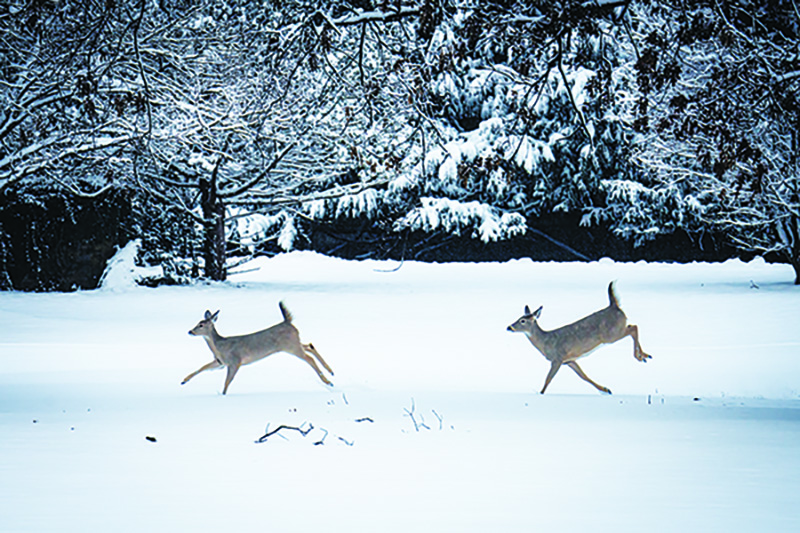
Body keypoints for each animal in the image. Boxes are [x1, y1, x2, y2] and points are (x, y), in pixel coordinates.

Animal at [183, 301, 334, 394]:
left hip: (290, 346)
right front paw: (184, 380)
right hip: (294, 343)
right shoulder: (220, 363)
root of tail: (288, 322)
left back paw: (328, 381)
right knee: (309, 346)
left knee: (309, 358)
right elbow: (202, 367)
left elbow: (227, 381)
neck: (220, 347)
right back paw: (330, 371)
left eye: (201, 325)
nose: (190, 331)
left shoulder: (235, 361)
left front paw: (223, 395)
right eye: (198, 323)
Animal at [507, 282, 651, 395]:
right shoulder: (569, 360)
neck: (545, 342)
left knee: (633, 328)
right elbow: (584, 376)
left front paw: (540, 393)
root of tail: (614, 305)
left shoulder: (557, 358)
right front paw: (605, 390)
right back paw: (644, 356)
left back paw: (640, 356)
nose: (509, 327)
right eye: (519, 318)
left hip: (610, 335)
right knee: (632, 326)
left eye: (523, 321)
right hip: (614, 332)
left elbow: (548, 378)